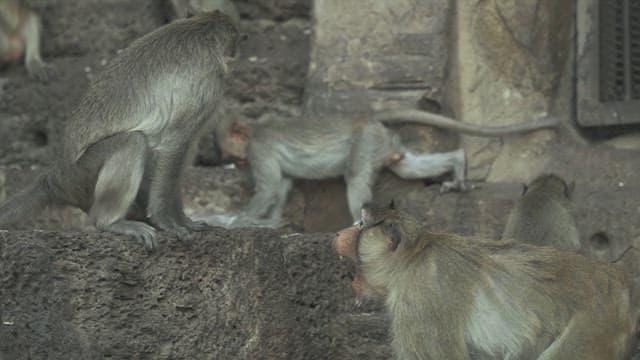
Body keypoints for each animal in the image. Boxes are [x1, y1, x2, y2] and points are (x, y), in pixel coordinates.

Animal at [0, 11, 240, 250]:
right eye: (236, 42)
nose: (236, 53)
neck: (200, 30)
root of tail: (56, 177)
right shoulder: (207, 82)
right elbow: (174, 145)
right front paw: (167, 222)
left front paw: (183, 220)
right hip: (82, 175)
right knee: (133, 142)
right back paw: (110, 222)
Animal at [214, 109, 560, 228]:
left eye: (237, 156)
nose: (237, 163)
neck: (255, 128)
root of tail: (370, 118)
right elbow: (282, 187)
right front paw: (272, 220)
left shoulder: (260, 149)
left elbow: (269, 187)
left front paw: (239, 219)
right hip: (386, 146)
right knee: (407, 168)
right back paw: (458, 163)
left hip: (365, 142)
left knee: (355, 179)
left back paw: (358, 224)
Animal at [336, 202, 640, 360]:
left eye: (360, 224)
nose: (341, 232)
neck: (413, 256)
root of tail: (616, 277)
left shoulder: (422, 292)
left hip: (595, 324)